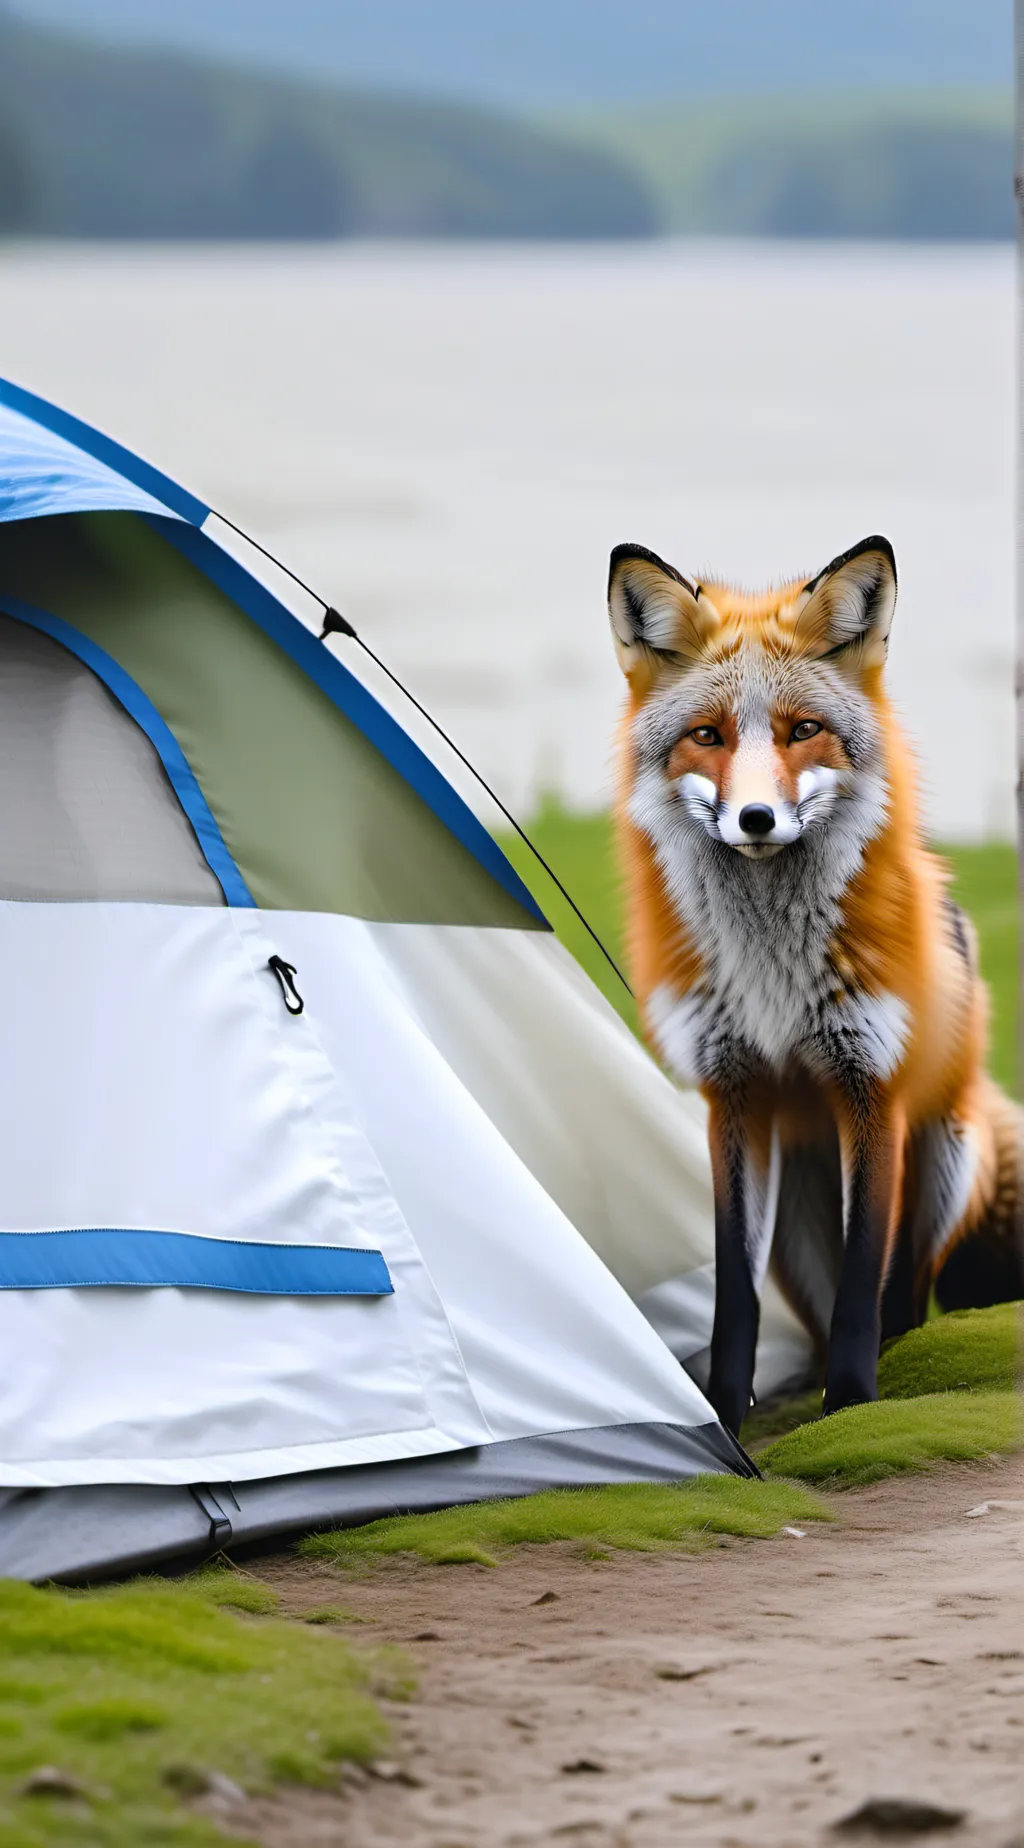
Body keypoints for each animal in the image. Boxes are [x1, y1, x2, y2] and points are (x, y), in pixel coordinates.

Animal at [609, 534, 1023, 1436]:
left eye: (804, 730)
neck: (772, 973)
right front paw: (725, 1413)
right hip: (798, 1228)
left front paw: (855, 1403)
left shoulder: (871, 1089)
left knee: (906, 1289)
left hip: (949, 1153)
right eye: (708, 735)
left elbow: (866, 1280)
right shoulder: (733, 1094)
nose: (757, 819)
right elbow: (733, 1289)